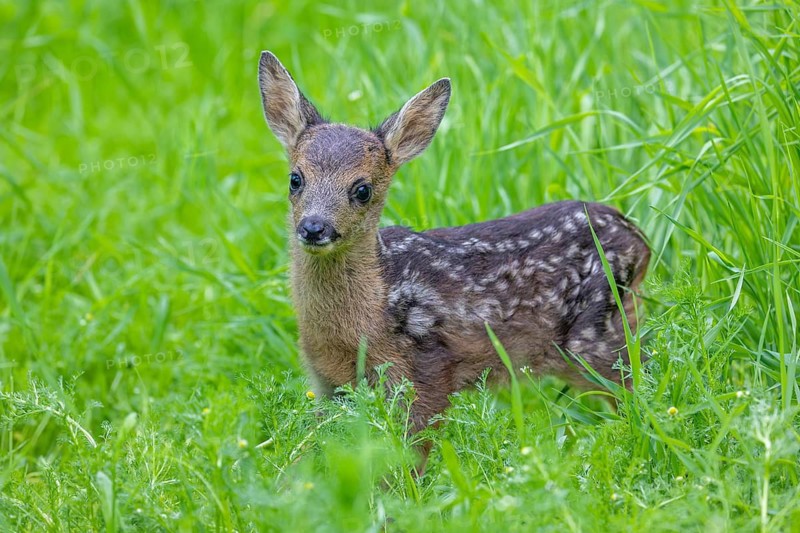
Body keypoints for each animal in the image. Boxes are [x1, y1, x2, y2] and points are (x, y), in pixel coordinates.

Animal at [257, 51, 650, 473]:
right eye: (295, 179)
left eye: (362, 190)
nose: (315, 227)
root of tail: (639, 239)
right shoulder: (326, 382)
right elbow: (320, 445)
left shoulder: (427, 367)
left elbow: (410, 449)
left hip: (595, 336)